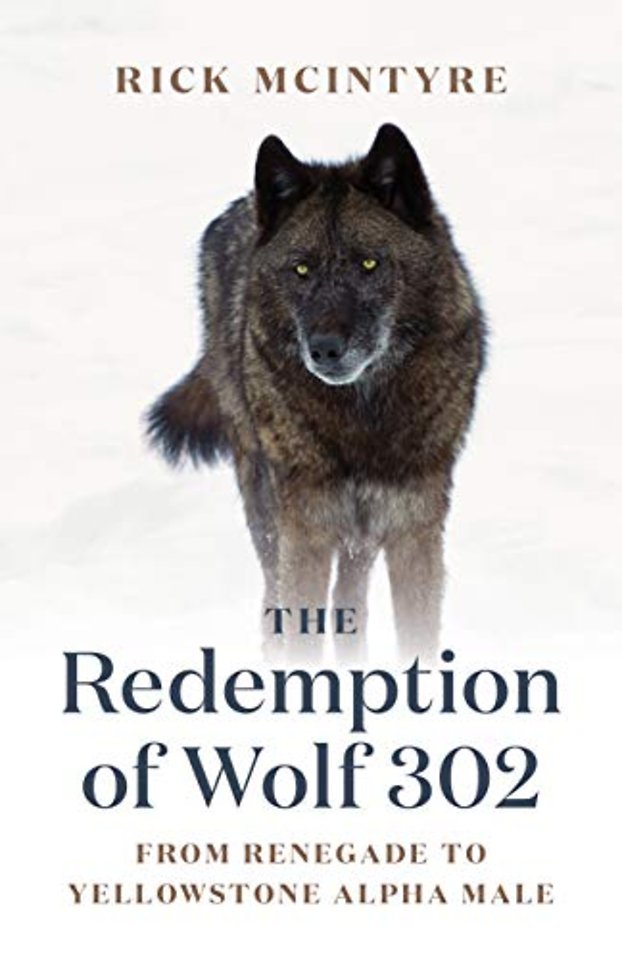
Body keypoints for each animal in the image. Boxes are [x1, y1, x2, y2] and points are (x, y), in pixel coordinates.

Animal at [147, 124, 486, 657]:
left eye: (369, 263)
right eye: (301, 269)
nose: (324, 349)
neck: (364, 418)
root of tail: (242, 204)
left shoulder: (414, 531)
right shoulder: (305, 533)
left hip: (359, 539)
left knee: (352, 601)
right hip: (267, 508)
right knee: (274, 601)